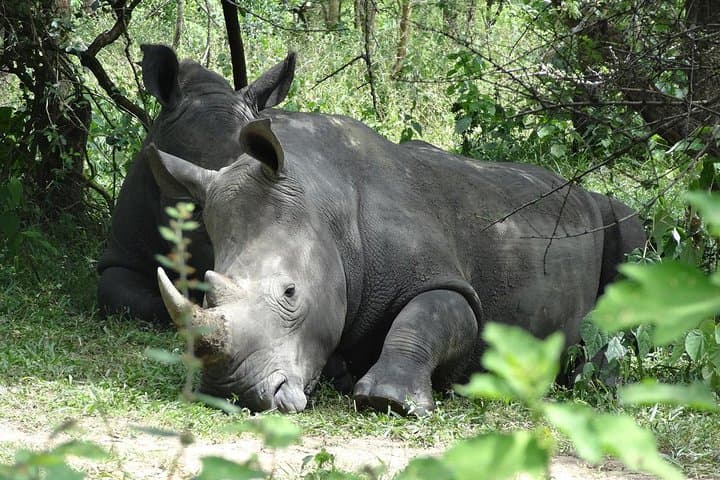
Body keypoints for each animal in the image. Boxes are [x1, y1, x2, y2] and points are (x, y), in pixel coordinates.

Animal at [149, 110, 645, 414]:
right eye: (205, 294)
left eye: (290, 293)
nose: (232, 391)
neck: (325, 203)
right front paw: (341, 372)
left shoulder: (442, 277)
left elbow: (430, 314)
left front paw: (387, 400)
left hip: (606, 211)